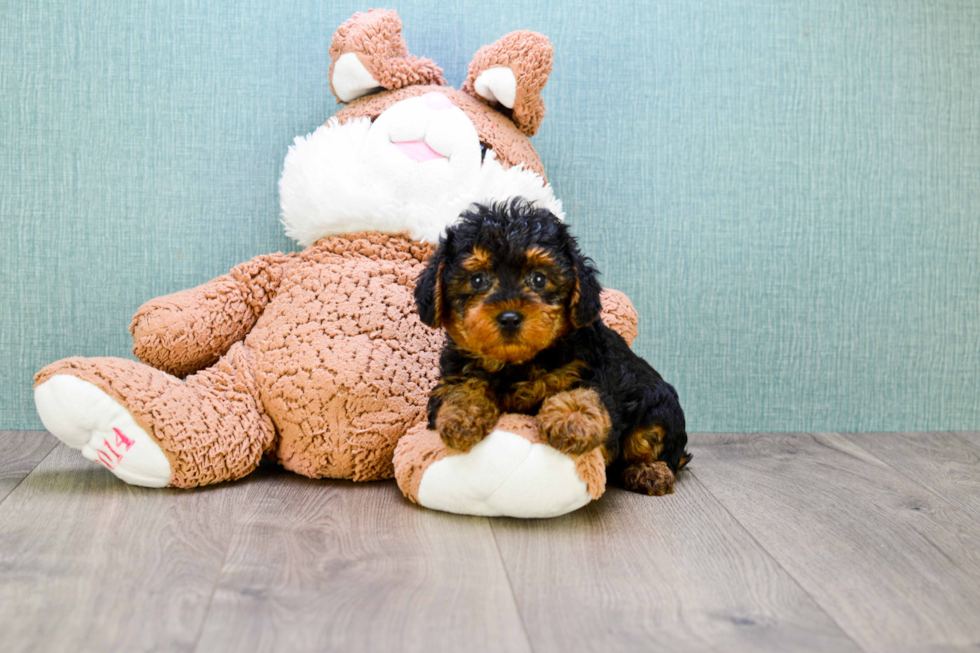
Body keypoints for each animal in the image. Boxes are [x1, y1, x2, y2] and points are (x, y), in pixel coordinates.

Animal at [412, 199, 688, 494]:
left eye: (539, 279)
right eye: (477, 280)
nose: (509, 318)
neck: (515, 364)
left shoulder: (587, 371)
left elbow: (586, 394)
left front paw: (572, 421)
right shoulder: (455, 372)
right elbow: (458, 389)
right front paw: (461, 418)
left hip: (659, 409)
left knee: (660, 448)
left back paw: (650, 471)